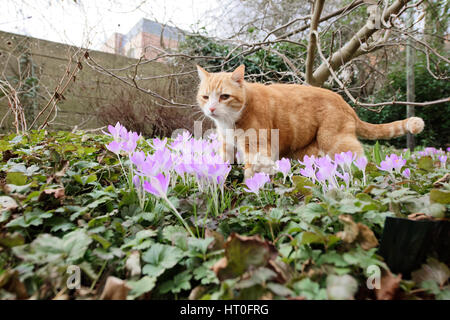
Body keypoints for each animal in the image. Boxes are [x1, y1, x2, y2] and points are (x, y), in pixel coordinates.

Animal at [195, 63, 424, 176]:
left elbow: (253, 171)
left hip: (335, 141)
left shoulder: (257, 147)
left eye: (224, 96)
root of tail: (345, 103)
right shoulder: (226, 145)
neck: (230, 120)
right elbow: (224, 162)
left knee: (358, 157)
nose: (212, 108)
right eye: (205, 97)